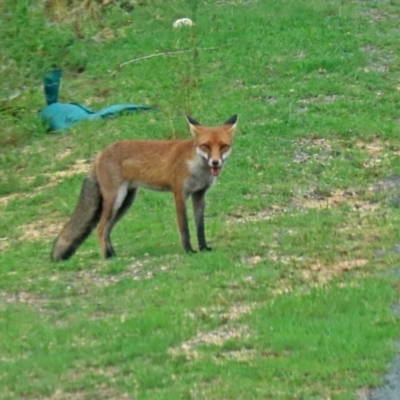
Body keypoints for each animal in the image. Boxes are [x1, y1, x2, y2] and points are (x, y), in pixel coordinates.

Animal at [51, 115, 236, 262]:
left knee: (107, 229)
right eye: (206, 146)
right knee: (101, 228)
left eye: (223, 146)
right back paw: (107, 257)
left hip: (126, 202)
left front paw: (204, 248)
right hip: (115, 200)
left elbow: (200, 226)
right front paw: (189, 250)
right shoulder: (180, 194)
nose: (215, 162)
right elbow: (184, 227)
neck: (197, 167)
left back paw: (113, 254)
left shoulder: (199, 195)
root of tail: (100, 154)